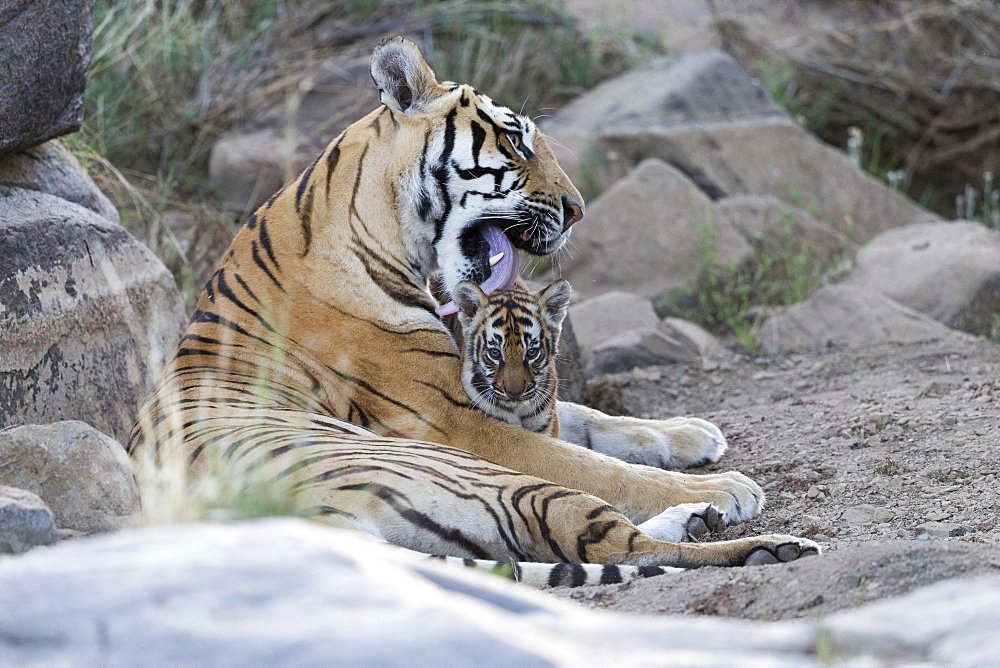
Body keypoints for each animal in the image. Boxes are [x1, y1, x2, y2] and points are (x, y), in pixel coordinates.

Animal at [129, 36, 816, 584]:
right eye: (514, 140)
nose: (578, 210)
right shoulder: (456, 420)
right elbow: (597, 465)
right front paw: (725, 484)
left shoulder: (491, 395)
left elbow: (589, 416)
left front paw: (692, 434)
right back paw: (738, 528)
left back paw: (697, 518)